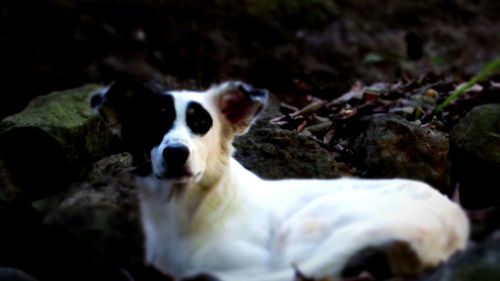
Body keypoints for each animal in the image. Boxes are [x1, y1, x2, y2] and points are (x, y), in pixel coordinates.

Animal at [92, 79, 470, 280]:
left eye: (202, 123)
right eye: (152, 124)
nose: (175, 154)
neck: (187, 210)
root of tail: (452, 221)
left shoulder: (252, 262)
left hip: (309, 225)